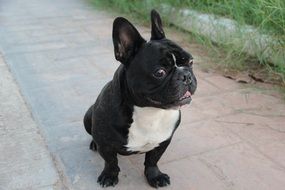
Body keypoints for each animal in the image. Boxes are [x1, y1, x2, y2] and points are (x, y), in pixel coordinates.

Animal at [83, 10, 196, 187]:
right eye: (159, 72)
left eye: (191, 62)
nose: (186, 75)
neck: (150, 111)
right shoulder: (106, 145)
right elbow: (111, 162)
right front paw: (109, 175)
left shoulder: (163, 141)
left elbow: (152, 160)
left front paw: (155, 176)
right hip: (88, 116)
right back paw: (93, 143)